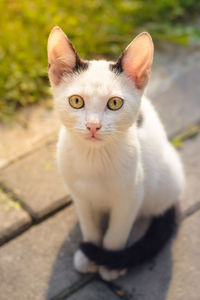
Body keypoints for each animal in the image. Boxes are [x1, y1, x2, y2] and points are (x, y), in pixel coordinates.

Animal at [47, 26, 184, 282]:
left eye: (114, 103)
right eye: (76, 101)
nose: (93, 126)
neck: (94, 159)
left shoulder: (131, 196)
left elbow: (117, 231)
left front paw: (109, 261)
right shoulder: (80, 196)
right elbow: (89, 226)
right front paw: (90, 254)